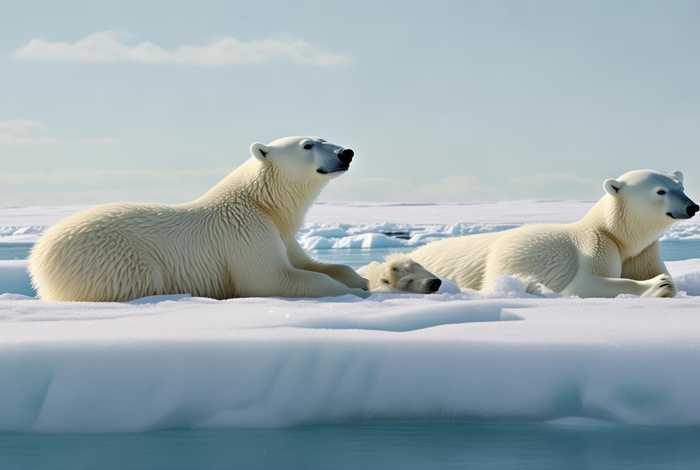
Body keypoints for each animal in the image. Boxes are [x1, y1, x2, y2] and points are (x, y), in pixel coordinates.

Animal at [29, 136, 370, 302]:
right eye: (307, 145)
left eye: (323, 136)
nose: (346, 153)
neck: (262, 202)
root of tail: (37, 257)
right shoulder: (245, 234)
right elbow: (271, 278)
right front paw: (353, 292)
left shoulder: (281, 232)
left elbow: (311, 263)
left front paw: (360, 279)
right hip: (111, 260)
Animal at [410, 170, 698, 298]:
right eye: (661, 191)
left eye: (681, 187)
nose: (692, 206)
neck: (619, 236)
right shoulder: (595, 245)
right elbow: (583, 284)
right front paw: (659, 285)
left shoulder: (643, 252)